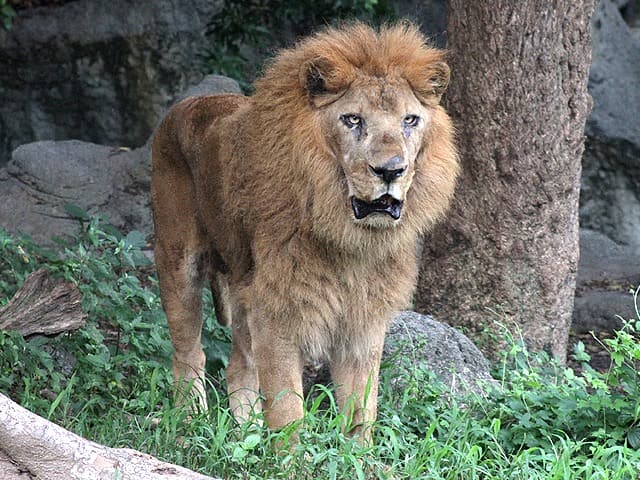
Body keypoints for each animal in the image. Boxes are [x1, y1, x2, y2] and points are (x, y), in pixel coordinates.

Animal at [152, 22, 458, 442]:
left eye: (410, 121)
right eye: (352, 120)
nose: (390, 170)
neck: (350, 237)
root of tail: (185, 104)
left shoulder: (363, 320)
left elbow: (361, 410)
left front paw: (359, 454)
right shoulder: (277, 309)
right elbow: (287, 410)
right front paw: (290, 456)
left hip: (244, 282)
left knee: (239, 364)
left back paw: (247, 433)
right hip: (179, 261)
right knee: (188, 352)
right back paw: (189, 424)